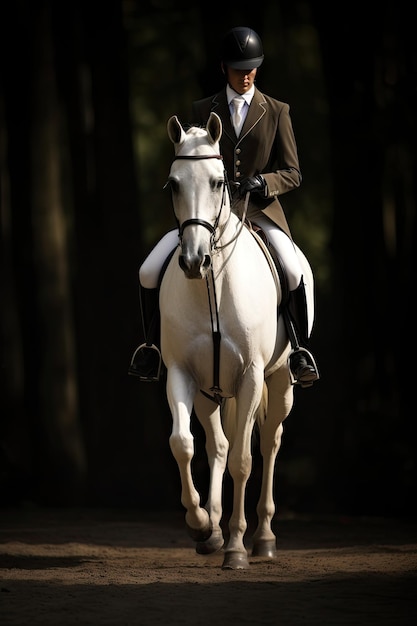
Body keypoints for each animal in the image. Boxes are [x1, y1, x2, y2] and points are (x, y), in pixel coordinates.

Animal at [158, 109, 312, 568]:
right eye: (174, 183)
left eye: (217, 182)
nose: (194, 260)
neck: (212, 283)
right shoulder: (182, 374)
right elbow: (183, 444)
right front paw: (200, 525)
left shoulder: (251, 377)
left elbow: (245, 461)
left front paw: (238, 548)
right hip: (210, 391)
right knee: (218, 445)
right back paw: (212, 531)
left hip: (279, 383)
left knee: (269, 444)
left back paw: (262, 538)